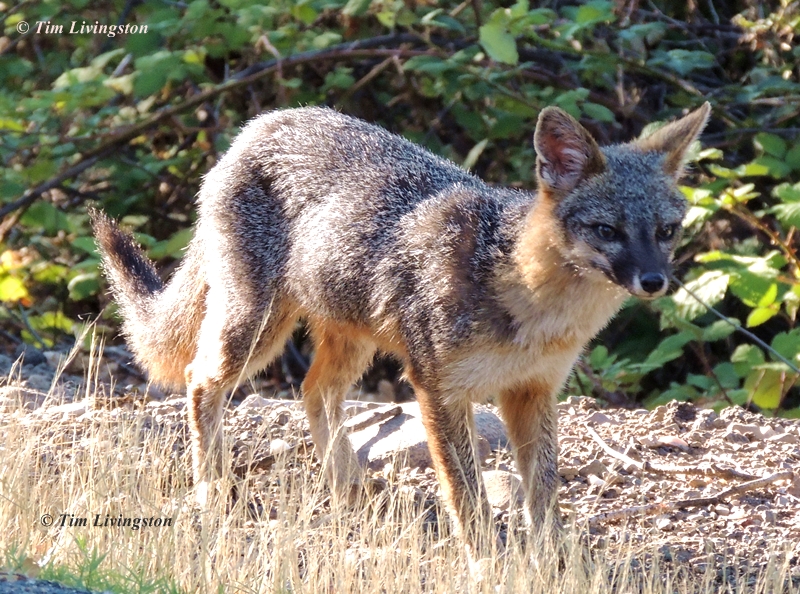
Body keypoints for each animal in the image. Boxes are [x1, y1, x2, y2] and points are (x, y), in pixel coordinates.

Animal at [91, 102, 710, 555]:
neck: (530, 304)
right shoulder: (437, 388)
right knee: (201, 379)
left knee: (314, 392)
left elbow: (543, 493)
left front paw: (554, 561)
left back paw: (349, 492)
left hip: (351, 338)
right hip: (256, 331)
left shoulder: (532, 391)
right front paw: (485, 564)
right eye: (607, 230)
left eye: (668, 231)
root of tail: (263, 122)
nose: (654, 280)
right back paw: (211, 488)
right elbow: (467, 497)